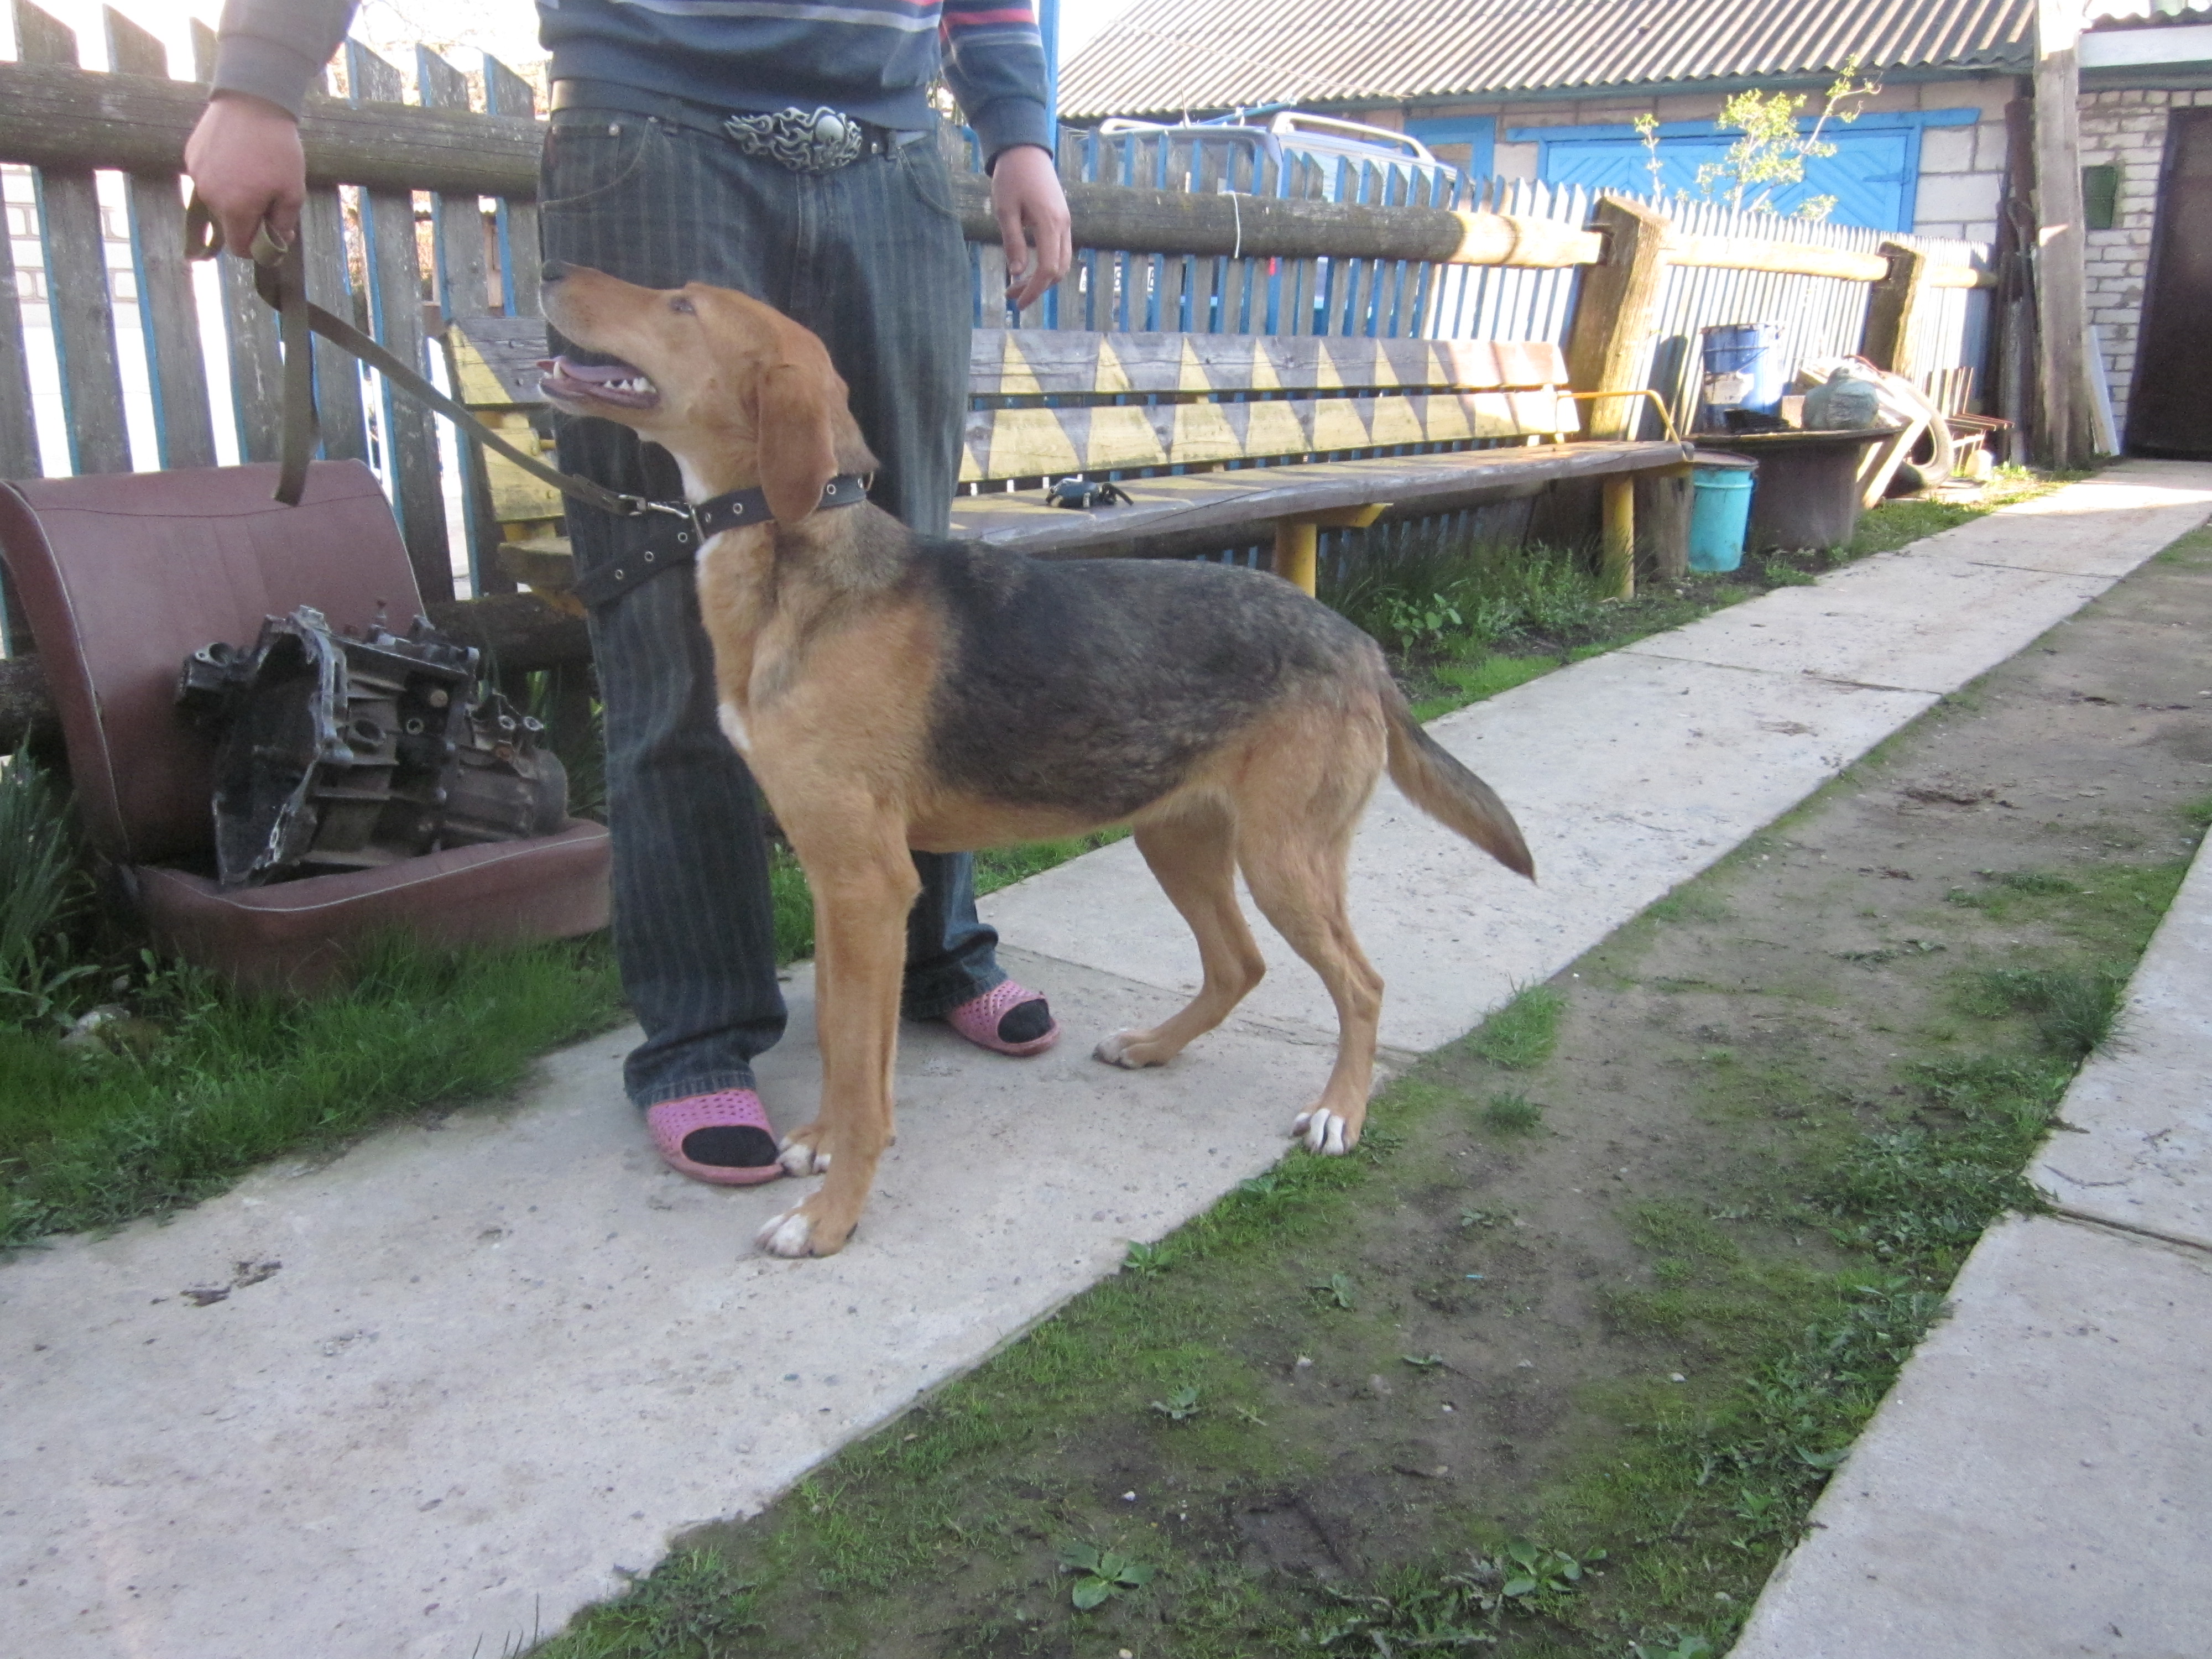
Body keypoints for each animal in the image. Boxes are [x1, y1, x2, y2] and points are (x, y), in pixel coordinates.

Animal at [537, 264, 1534, 1258]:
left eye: (682, 305)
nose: (553, 270)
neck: (801, 567)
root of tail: (1357, 645)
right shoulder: (835, 879)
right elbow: (840, 1039)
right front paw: (820, 1142)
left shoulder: (868, 883)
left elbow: (861, 1072)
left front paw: (830, 1216)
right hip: (1178, 838)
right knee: (1238, 965)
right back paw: (1156, 1046)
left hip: (1283, 857)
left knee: (1360, 984)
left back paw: (1338, 1112)